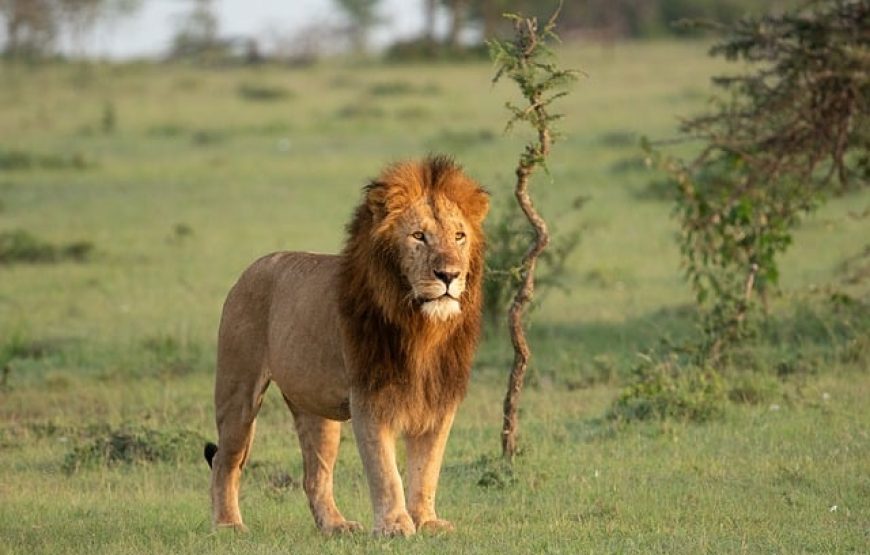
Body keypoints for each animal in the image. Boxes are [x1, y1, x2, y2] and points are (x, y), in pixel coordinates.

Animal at [205, 154, 490, 536]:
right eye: (419, 236)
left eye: (459, 236)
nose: (449, 275)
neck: (421, 327)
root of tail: (251, 268)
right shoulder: (369, 395)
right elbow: (385, 470)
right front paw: (395, 526)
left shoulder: (439, 399)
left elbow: (427, 468)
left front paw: (427, 521)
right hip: (238, 389)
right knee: (226, 458)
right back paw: (228, 524)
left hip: (315, 407)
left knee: (315, 475)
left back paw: (335, 525)